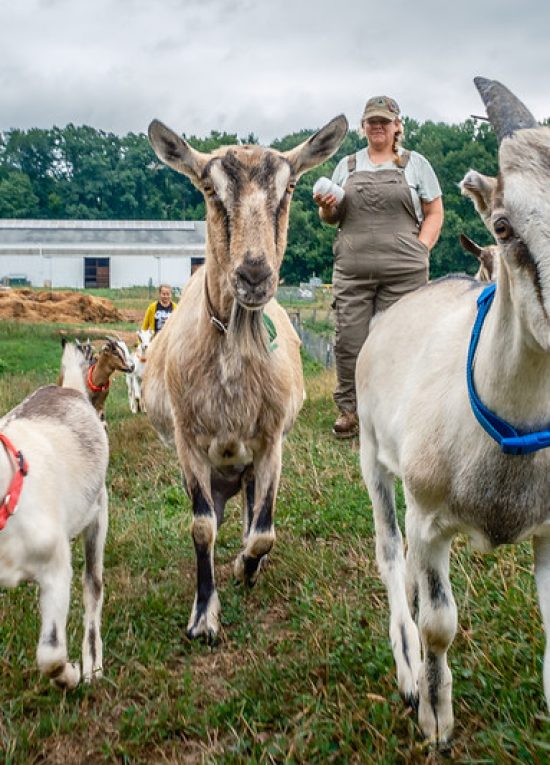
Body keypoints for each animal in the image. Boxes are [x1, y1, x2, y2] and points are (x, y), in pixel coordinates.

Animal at [0, 340, 109, 688]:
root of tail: (70, 389)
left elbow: (50, 654)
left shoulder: (56, 569)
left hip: (98, 512)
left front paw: (70, 675)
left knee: (93, 588)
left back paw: (93, 665)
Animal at [143, 112, 350, 640]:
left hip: (249, 464)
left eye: (290, 186)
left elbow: (264, 531)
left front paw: (245, 567)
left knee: (252, 509)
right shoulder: (189, 439)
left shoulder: (271, 439)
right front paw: (203, 615)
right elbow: (201, 527)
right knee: (216, 517)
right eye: (209, 189)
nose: (254, 274)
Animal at [356, 77, 550, 748]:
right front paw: (435, 717)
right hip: (373, 457)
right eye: (503, 224)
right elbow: (439, 620)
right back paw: (408, 670)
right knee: (393, 557)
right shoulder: (431, 517)